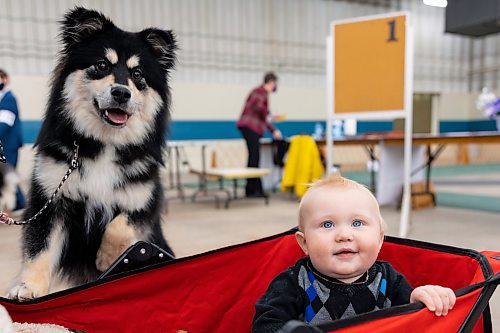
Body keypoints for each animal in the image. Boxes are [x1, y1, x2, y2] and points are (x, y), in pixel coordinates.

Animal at [8, 7, 178, 298]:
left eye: (138, 74)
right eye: (102, 66)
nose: (121, 93)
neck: (104, 144)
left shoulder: (145, 198)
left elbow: (121, 224)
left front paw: (107, 257)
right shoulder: (49, 200)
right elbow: (40, 249)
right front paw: (29, 287)